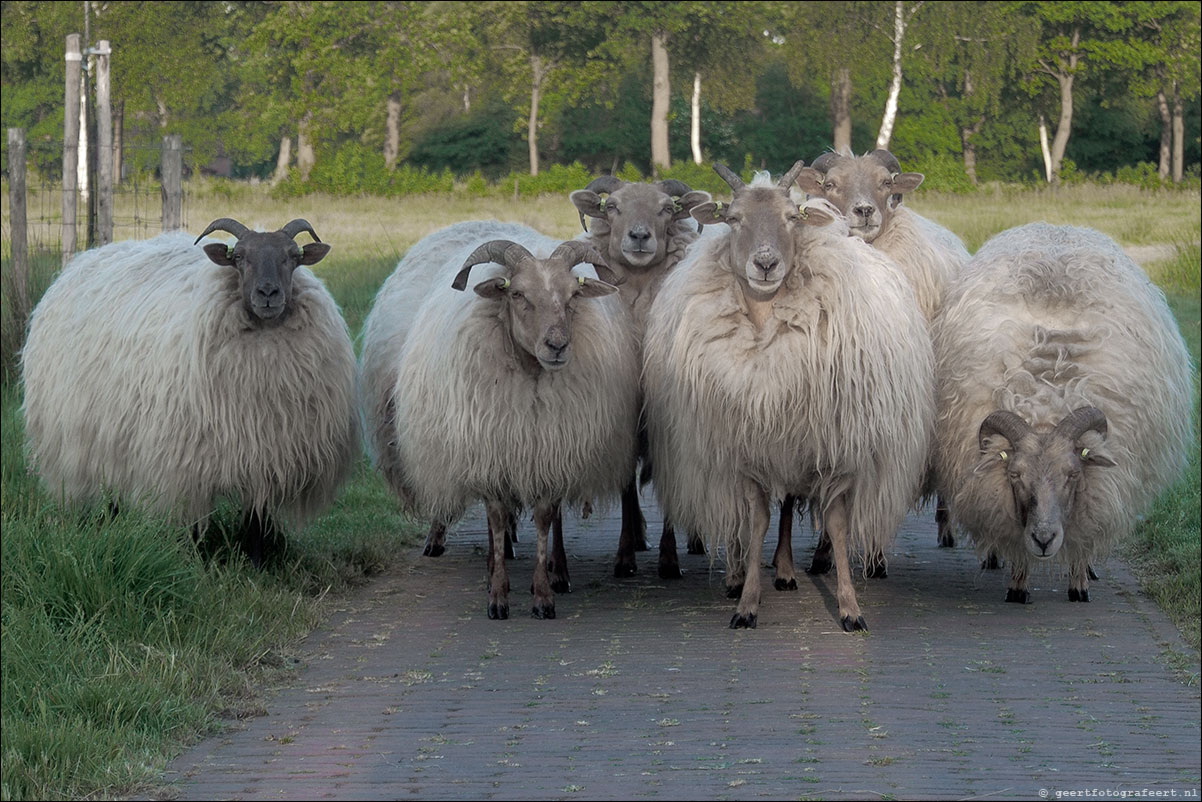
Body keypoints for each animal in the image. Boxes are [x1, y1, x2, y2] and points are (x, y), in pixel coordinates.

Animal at [21, 220, 358, 565]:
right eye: (239, 257)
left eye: (293, 256)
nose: (267, 293)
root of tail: (86, 257)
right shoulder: (187, 462)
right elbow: (192, 522)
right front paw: (191, 562)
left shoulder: (266, 455)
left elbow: (256, 515)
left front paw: (256, 559)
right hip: (90, 437)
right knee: (109, 488)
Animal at [358, 220, 644, 620]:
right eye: (518, 294)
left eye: (573, 295)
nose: (558, 345)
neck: (530, 376)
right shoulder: (490, 452)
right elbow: (493, 519)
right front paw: (497, 595)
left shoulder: (549, 451)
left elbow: (545, 519)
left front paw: (543, 593)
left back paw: (554, 570)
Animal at [564, 176, 711, 577]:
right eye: (612, 206)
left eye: (666, 209)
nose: (640, 236)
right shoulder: (624, 415)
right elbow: (627, 485)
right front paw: (625, 554)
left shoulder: (666, 415)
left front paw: (669, 560)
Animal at [644, 164, 932, 634]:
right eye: (733, 218)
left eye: (792, 218)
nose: (765, 264)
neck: (765, 322)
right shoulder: (745, 448)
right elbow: (756, 520)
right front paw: (746, 602)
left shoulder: (833, 446)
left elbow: (836, 525)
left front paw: (850, 608)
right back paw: (747, 573)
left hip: (796, 439)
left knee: (791, 502)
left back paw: (783, 569)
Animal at [927, 222, 1192, 606]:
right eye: (1015, 475)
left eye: (1072, 474)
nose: (1044, 539)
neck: (1048, 392)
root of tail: (1057, 225)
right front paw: (1018, 583)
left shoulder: (1094, 495)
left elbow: (1083, 539)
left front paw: (1079, 582)